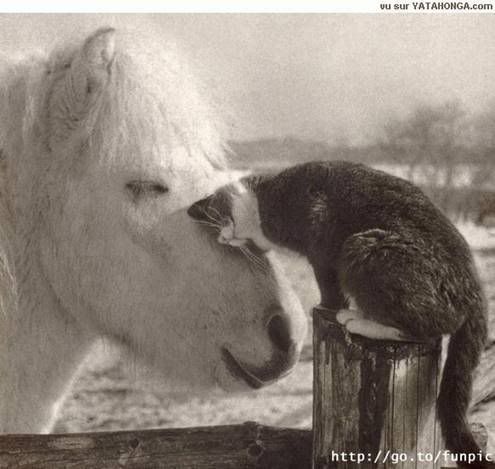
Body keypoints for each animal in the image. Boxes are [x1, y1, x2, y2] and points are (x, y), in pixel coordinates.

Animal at [188, 160, 490, 464]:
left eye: (219, 219)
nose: (224, 239)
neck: (262, 200)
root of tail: (474, 290)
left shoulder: (321, 242)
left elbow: (329, 283)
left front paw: (328, 307)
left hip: (365, 247)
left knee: (425, 329)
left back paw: (358, 320)